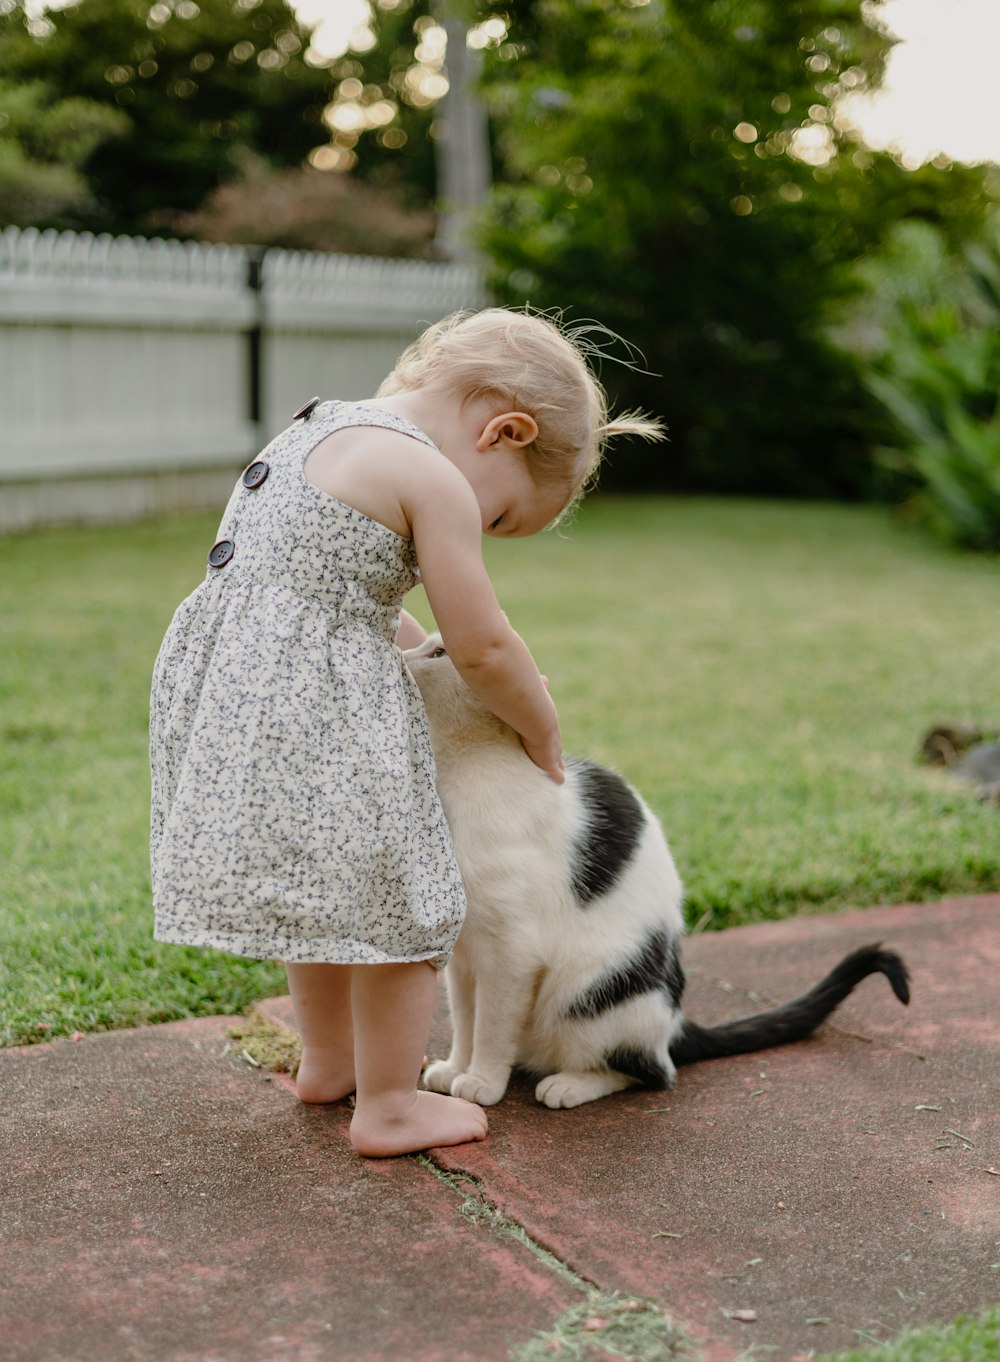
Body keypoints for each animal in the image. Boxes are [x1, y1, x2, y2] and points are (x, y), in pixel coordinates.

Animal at [403, 634, 910, 1105]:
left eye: (439, 652)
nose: (401, 653)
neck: (457, 778)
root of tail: (675, 1022)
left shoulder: (511, 950)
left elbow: (492, 1024)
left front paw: (483, 1082)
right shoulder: (463, 954)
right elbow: (466, 1019)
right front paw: (456, 1068)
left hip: (589, 989)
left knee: (650, 1071)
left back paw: (570, 1085)